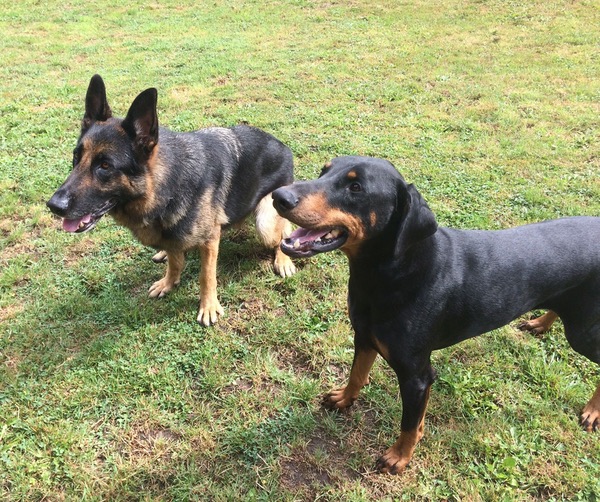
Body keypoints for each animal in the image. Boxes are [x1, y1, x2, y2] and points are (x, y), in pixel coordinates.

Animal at [48, 74, 296, 326]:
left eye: (105, 166)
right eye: (76, 157)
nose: (53, 206)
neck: (165, 187)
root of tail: (285, 148)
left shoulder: (209, 240)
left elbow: (206, 276)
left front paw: (208, 306)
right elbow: (175, 262)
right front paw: (169, 282)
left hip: (265, 224)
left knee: (284, 231)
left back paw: (284, 259)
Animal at [274, 156, 600, 474]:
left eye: (356, 187)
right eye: (324, 171)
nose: (279, 196)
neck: (392, 272)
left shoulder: (417, 376)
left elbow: (409, 424)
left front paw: (399, 457)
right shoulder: (364, 337)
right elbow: (357, 375)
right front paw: (344, 399)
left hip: (583, 335)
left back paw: (592, 411)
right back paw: (540, 323)